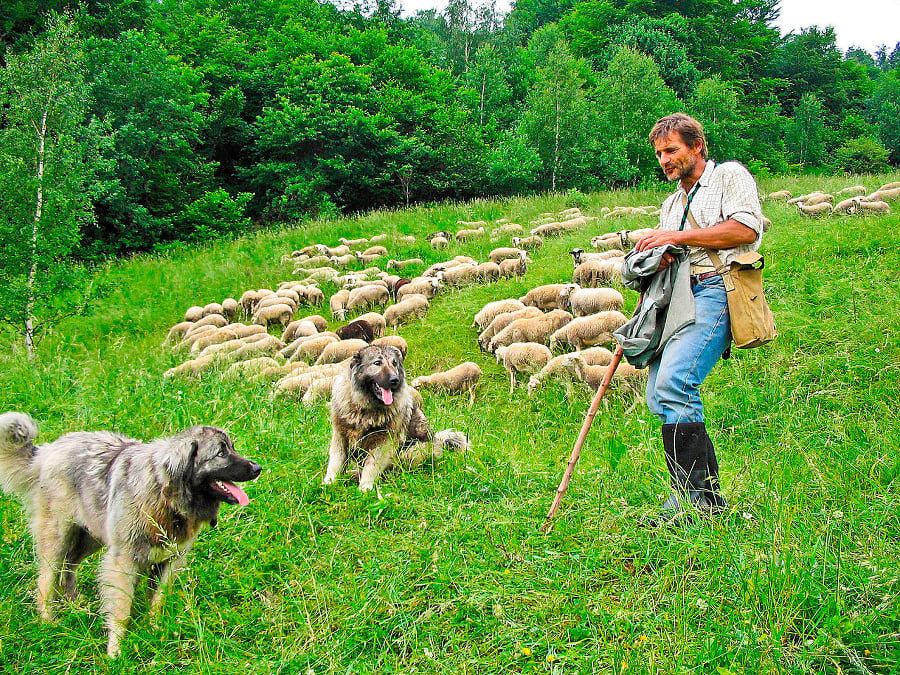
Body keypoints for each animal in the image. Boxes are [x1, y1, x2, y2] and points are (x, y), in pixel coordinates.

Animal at [0, 414, 260, 656]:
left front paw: (155, 630)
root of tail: (46, 451)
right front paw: (115, 651)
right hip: (58, 535)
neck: (165, 495)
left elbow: (157, 601)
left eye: (232, 448)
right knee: (47, 578)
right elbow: (122, 610)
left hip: (91, 535)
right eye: (221, 453)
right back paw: (49, 621)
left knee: (70, 565)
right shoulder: (123, 562)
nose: (257, 468)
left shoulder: (169, 561)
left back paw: (76, 604)